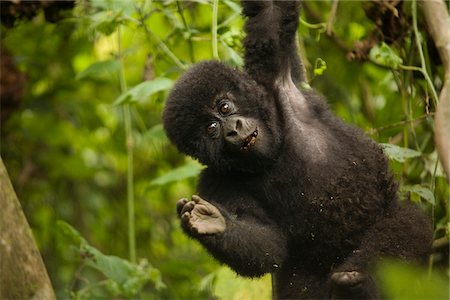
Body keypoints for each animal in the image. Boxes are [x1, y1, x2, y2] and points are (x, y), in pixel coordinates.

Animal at [163, 1, 432, 298]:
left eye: (224, 107)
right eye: (211, 129)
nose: (232, 129)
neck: (273, 154)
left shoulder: (272, 75)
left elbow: (269, 13)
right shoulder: (215, 182)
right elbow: (268, 245)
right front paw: (214, 224)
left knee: (407, 226)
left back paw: (359, 281)